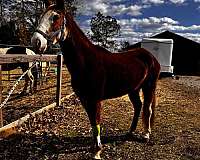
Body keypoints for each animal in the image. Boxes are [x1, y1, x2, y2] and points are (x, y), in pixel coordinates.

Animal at [30, 0, 159, 159]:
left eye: (55, 17)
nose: (36, 42)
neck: (86, 62)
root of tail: (150, 56)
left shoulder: (95, 99)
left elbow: (96, 121)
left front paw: (97, 151)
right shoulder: (85, 99)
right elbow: (92, 123)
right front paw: (94, 148)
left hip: (149, 86)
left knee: (147, 108)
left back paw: (146, 135)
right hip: (133, 89)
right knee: (138, 106)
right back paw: (130, 131)